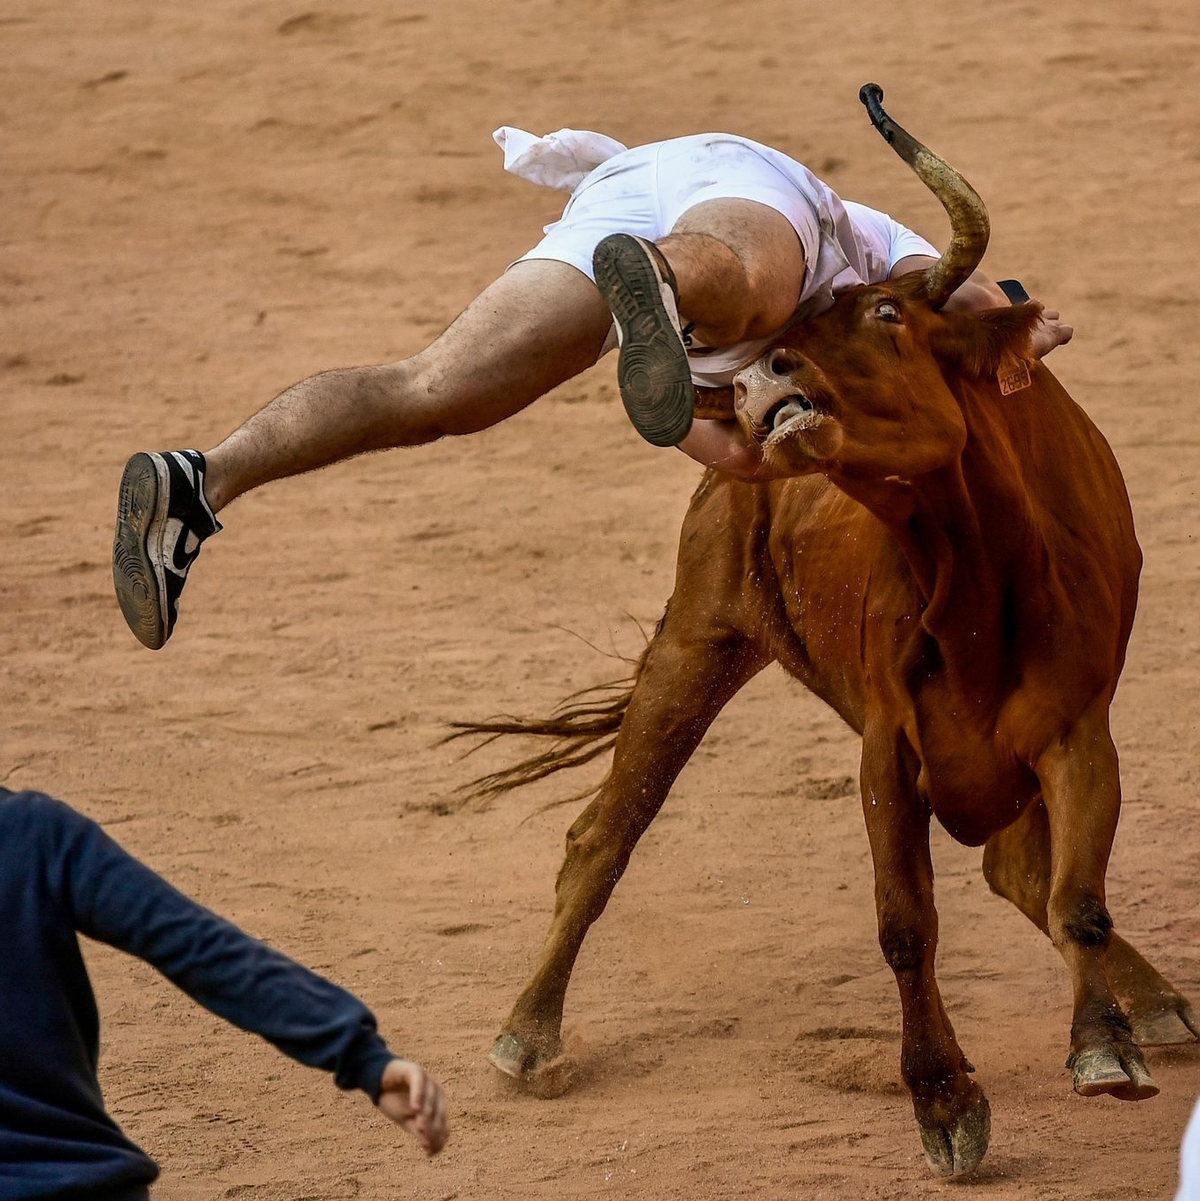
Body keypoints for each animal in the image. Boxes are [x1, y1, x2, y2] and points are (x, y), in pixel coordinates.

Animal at [458, 86, 1198, 1177]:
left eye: (889, 312)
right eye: (805, 320)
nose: (759, 381)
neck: (979, 575)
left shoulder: (1076, 732)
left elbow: (1076, 896)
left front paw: (1102, 1042)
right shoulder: (889, 747)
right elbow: (905, 923)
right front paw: (942, 1098)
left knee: (1023, 873)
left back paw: (1156, 1004)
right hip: (699, 636)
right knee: (602, 835)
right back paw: (527, 1030)